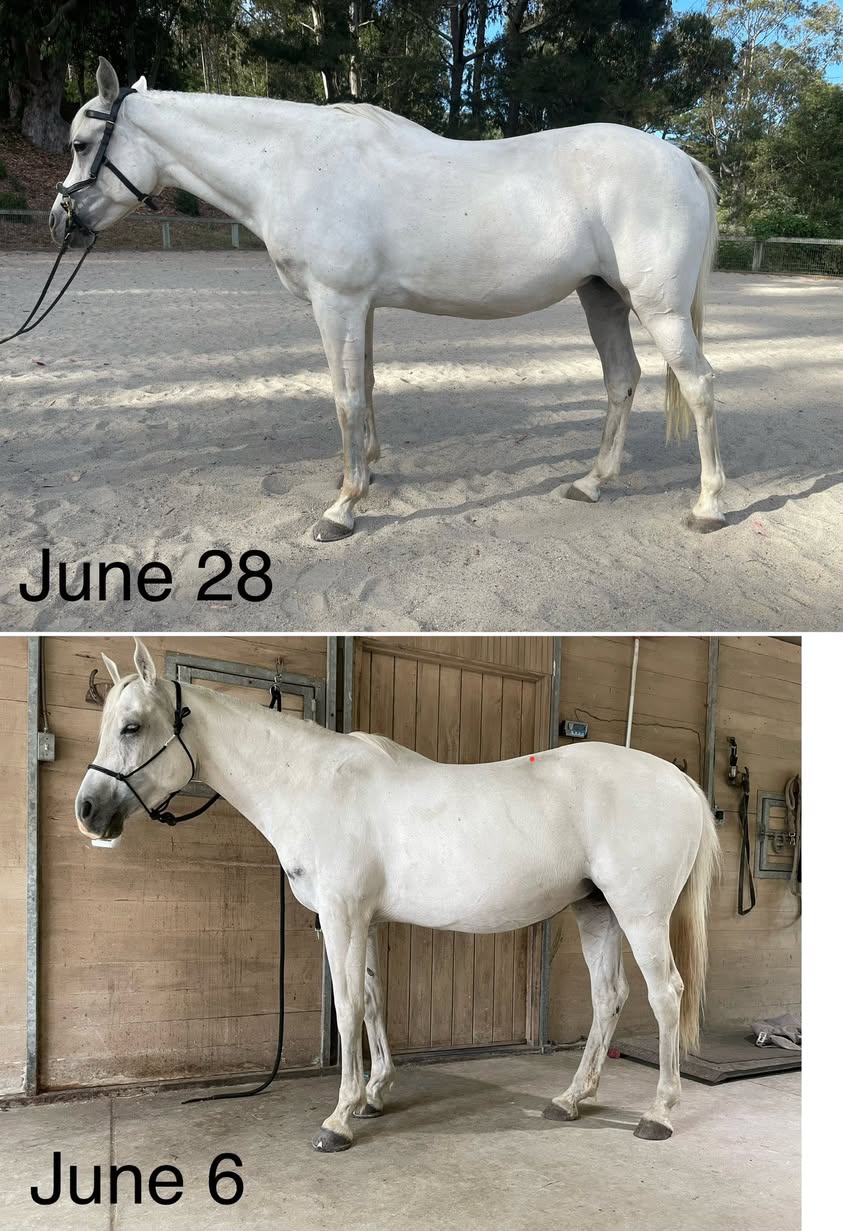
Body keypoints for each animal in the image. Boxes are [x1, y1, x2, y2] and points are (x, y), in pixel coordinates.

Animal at [51, 57, 726, 543]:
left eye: (82, 143)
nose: (62, 221)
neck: (295, 164)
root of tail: (681, 159)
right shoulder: (362, 308)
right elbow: (368, 386)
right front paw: (366, 471)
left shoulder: (337, 303)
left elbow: (345, 397)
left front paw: (343, 509)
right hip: (602, 298)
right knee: (622, 380)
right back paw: (592, 482)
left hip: (659, 310)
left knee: (698, 385)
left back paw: (709, 505)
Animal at [75, 639, 721, 1152]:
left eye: (132, 726)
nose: (87, 811)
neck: (313, 782)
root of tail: (680, 781)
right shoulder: (366, 920)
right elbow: (373, 1000)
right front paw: (373, 1095)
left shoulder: (342, 917)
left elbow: (346, 1007)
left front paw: (339, 1117)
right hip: (597, 910)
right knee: (608, 998)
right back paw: (570, 1099)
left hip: (639, 914)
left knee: (665, 996)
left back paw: (658, 1114)